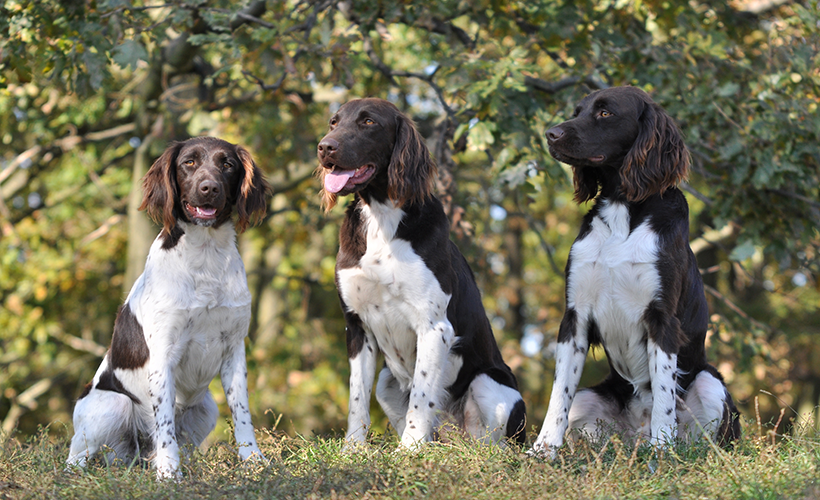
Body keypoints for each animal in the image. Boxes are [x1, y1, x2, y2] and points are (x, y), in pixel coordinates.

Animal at [67, 136, 270, 476]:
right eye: (189, 162)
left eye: (227, 164)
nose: (209, 188)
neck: (205, 255)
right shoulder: (162, 354)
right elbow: (164, 423)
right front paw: (169, 472)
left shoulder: (234, 349)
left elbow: (241, 411)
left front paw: (252, 460)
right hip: (112, 406)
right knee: (76, 458)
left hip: (205, 406)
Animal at [318, 98, 528, 450]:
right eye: (334, 122)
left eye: (369, 122)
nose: (324, 147)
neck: (381, 218)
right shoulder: (357, 327)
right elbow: (357, 398)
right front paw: (353, 449)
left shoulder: (434, 327)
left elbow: (421, 394)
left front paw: (409, 449)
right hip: (387, 381)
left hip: (490, 383)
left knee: (492, 445)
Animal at [528, 86, 740, 458]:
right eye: (578, 111)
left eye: (605, 113)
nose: (550, 134)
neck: (622, 209)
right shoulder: (575, 315)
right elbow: (559, 393)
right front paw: (543, 449)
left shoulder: (662, 318)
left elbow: (664, 396)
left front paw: (662, 449)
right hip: (590, 399)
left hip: (710, 381)